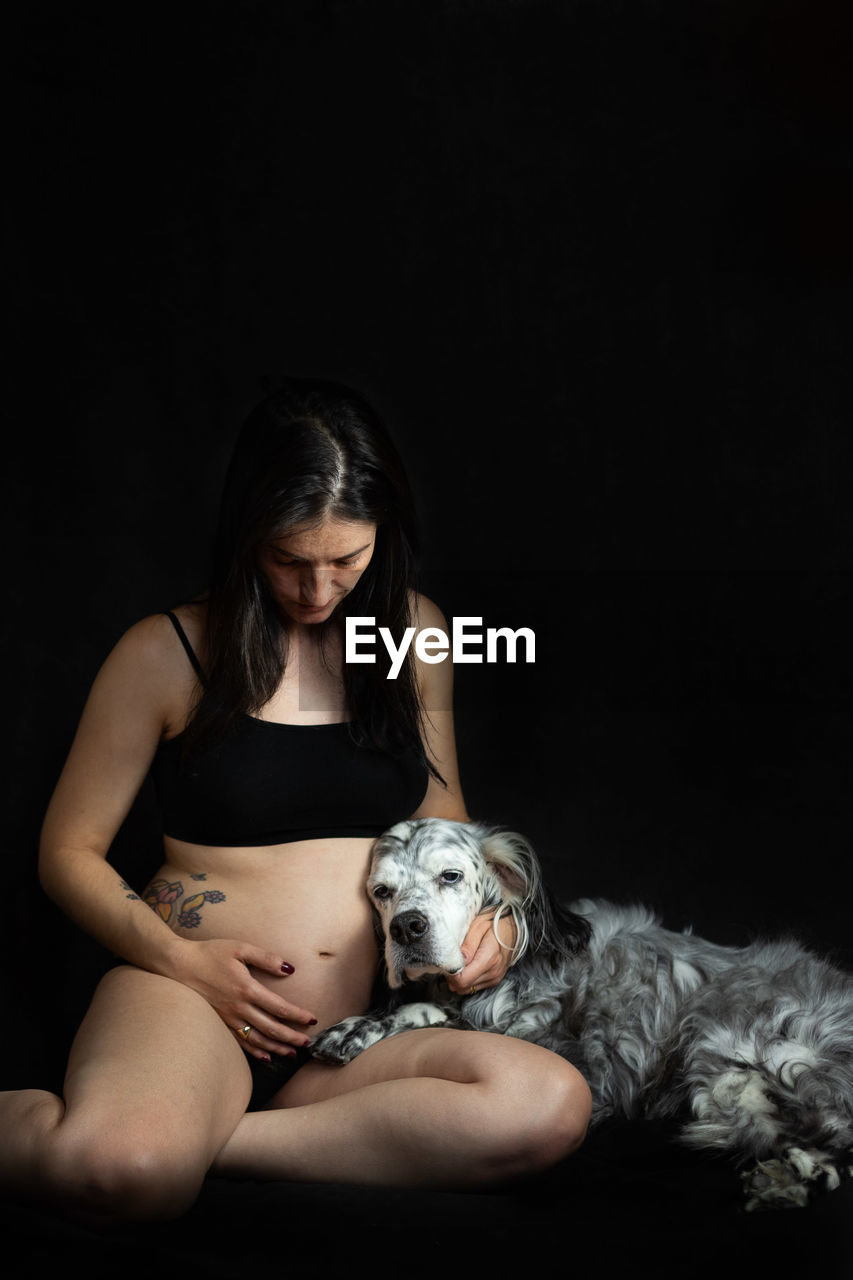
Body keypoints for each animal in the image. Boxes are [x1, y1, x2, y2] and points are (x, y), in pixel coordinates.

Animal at [312, 819, 850, 1208]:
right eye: (382, 892)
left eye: (451, 877)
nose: (406, 928)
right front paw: (358, 1025)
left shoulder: (573, 1061)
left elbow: (418, 1011)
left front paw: (361, 1027)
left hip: (722, 1055)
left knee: (826, 1134)